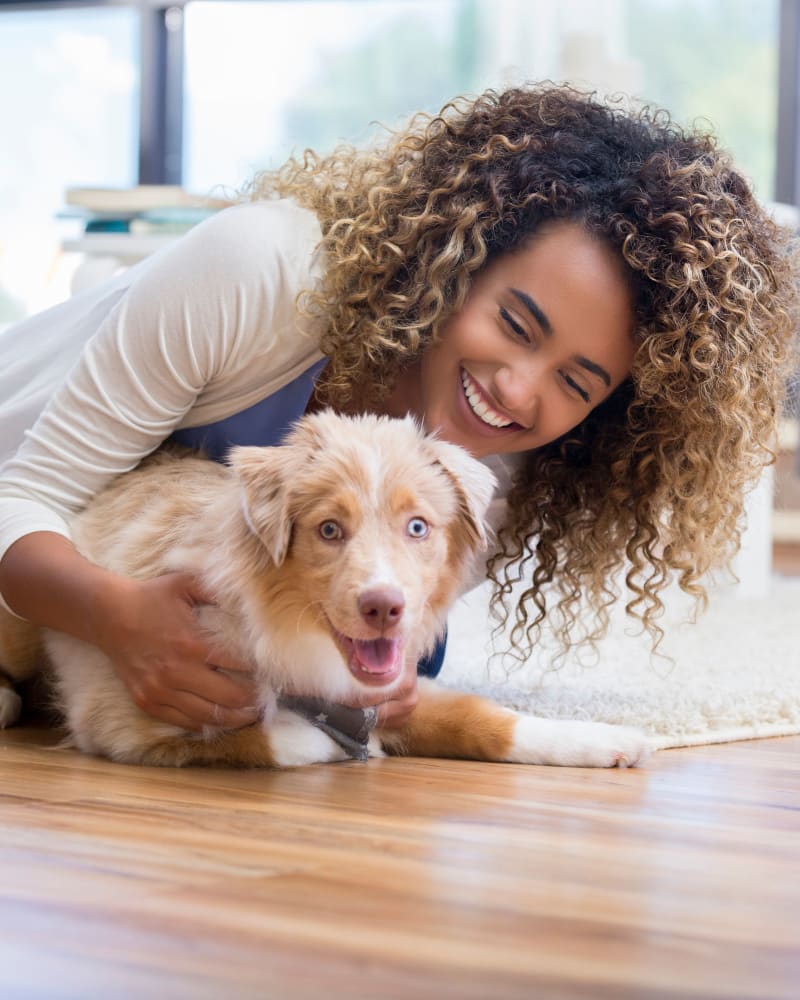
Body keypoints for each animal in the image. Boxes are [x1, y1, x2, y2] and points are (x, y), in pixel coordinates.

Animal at [0, 410, 648, 768]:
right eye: (329, 529)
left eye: (418, 527)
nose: (384, 607)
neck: (286, 625)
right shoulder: (120, 717)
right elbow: (270, 738)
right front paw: (338, 743)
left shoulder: (390, 689)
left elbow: (484, 718)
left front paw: (611, 740)